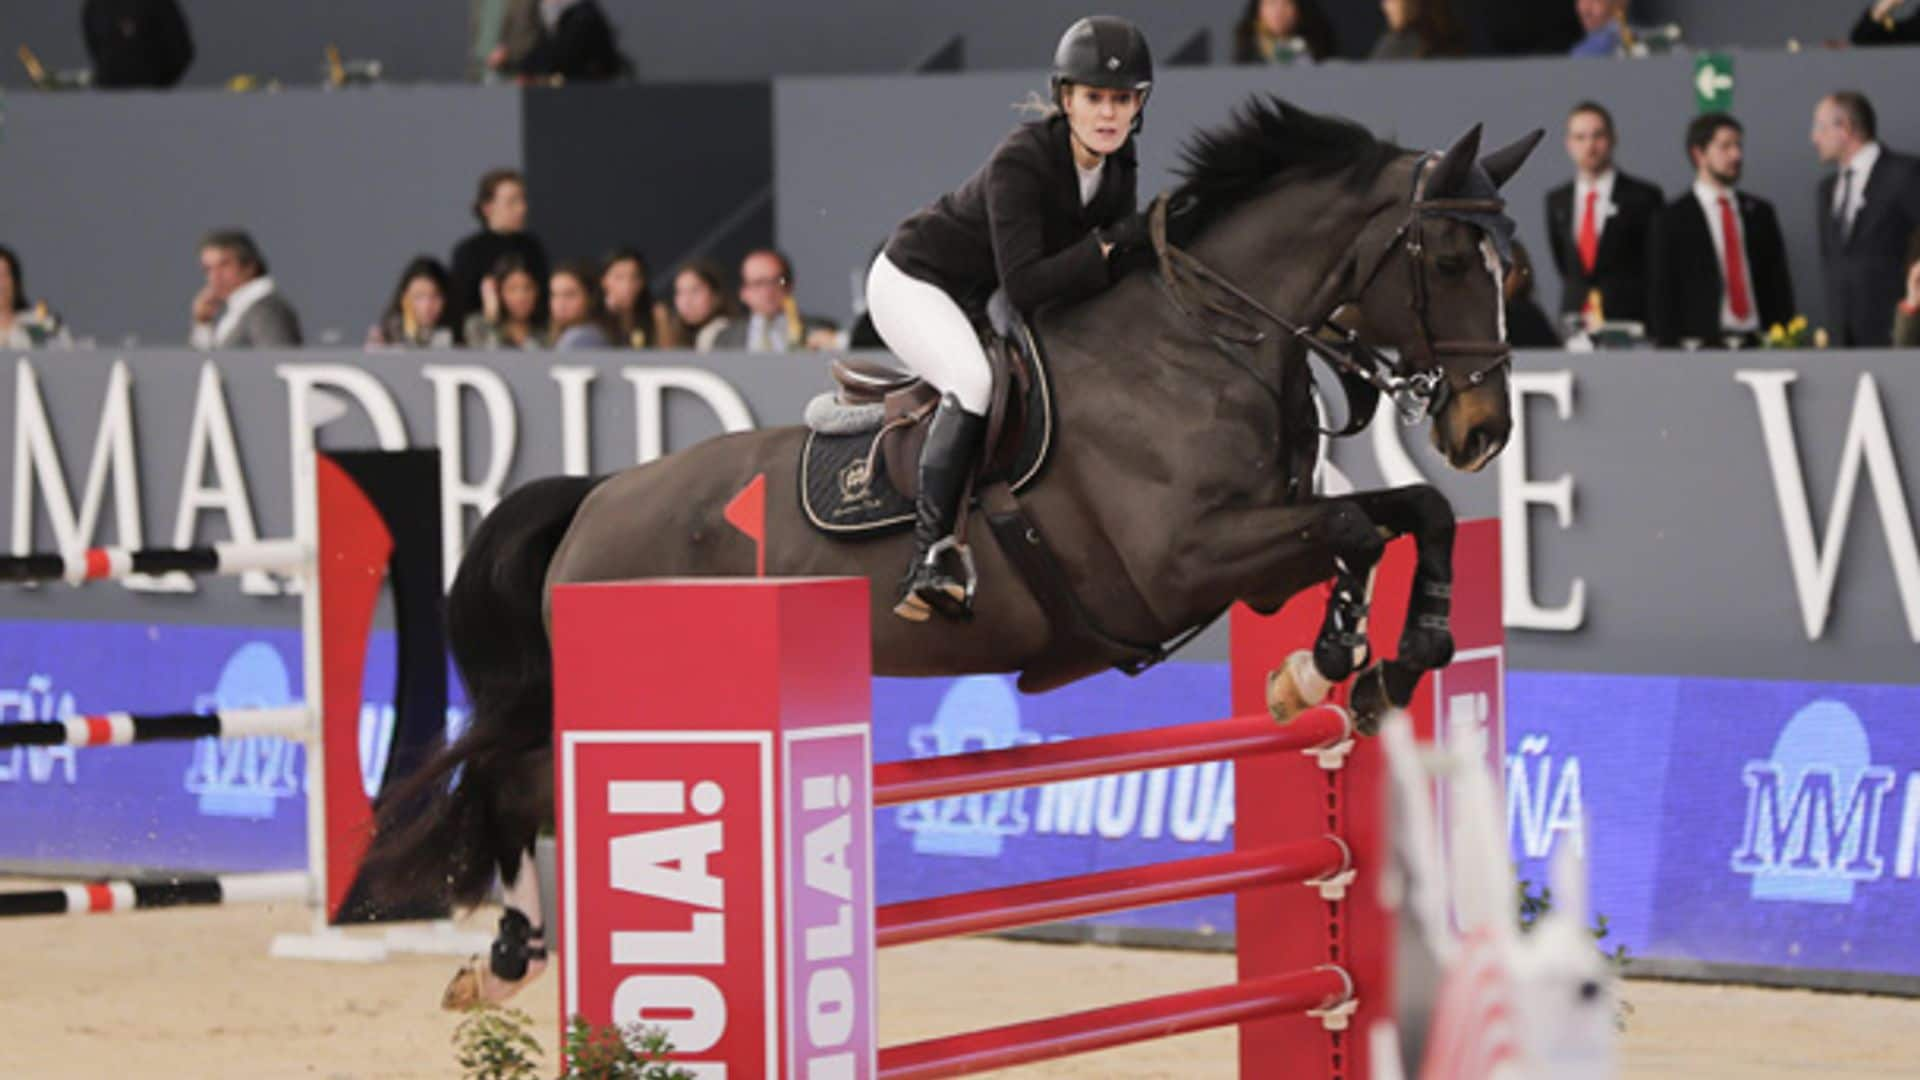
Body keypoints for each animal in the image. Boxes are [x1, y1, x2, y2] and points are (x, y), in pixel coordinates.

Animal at [362, 100, 1543, 999]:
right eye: (1447, 256)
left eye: (1517, 271)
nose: (1483, 430)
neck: (1206, 342)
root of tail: (598, 499)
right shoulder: (1183, 563)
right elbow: (1355, 527)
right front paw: (1335, 659)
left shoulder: (1255, 555)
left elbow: (1411, 517)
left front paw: (1380, 660)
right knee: (515, 781)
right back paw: (506, 956)